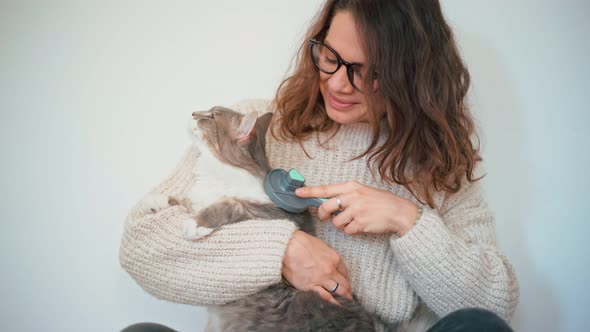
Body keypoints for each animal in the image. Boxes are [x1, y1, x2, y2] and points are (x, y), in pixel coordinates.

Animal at [141, 106, 376, 332]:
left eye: (211, 116)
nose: (193, 113)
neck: (217, 174)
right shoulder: (199, 198)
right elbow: (183, 201)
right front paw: (156, 200)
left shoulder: (266, 213)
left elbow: (229, 205)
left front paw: (195, 224)